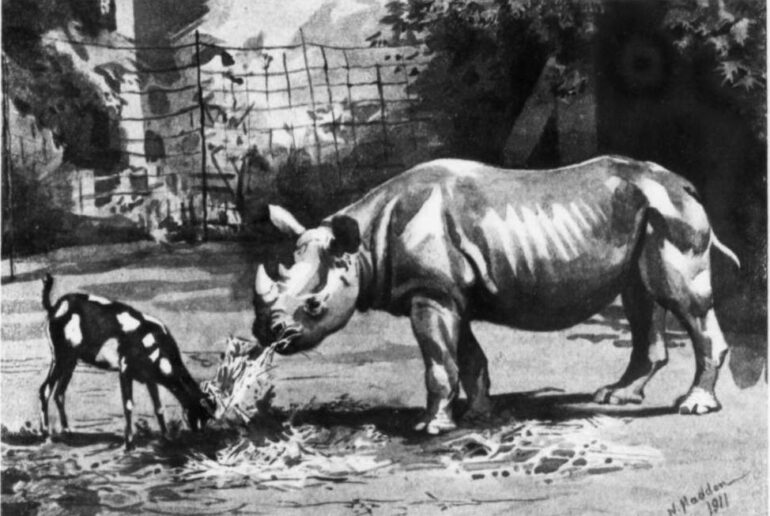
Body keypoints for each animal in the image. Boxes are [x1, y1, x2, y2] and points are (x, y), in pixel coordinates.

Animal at [40, 274, 213, 449]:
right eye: (200, 412)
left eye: (208, 417)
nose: (201, 436)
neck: (155, 342)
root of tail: (55, 307)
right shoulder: (125, 371)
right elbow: (128, 405)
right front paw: (129, 444)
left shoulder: (150, 379)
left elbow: (158, 407)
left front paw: (166, 437)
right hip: (60, 357)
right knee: (45, 390)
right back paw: (46, 434)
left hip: (70, 361)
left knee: (59, 394)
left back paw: (67, 431)